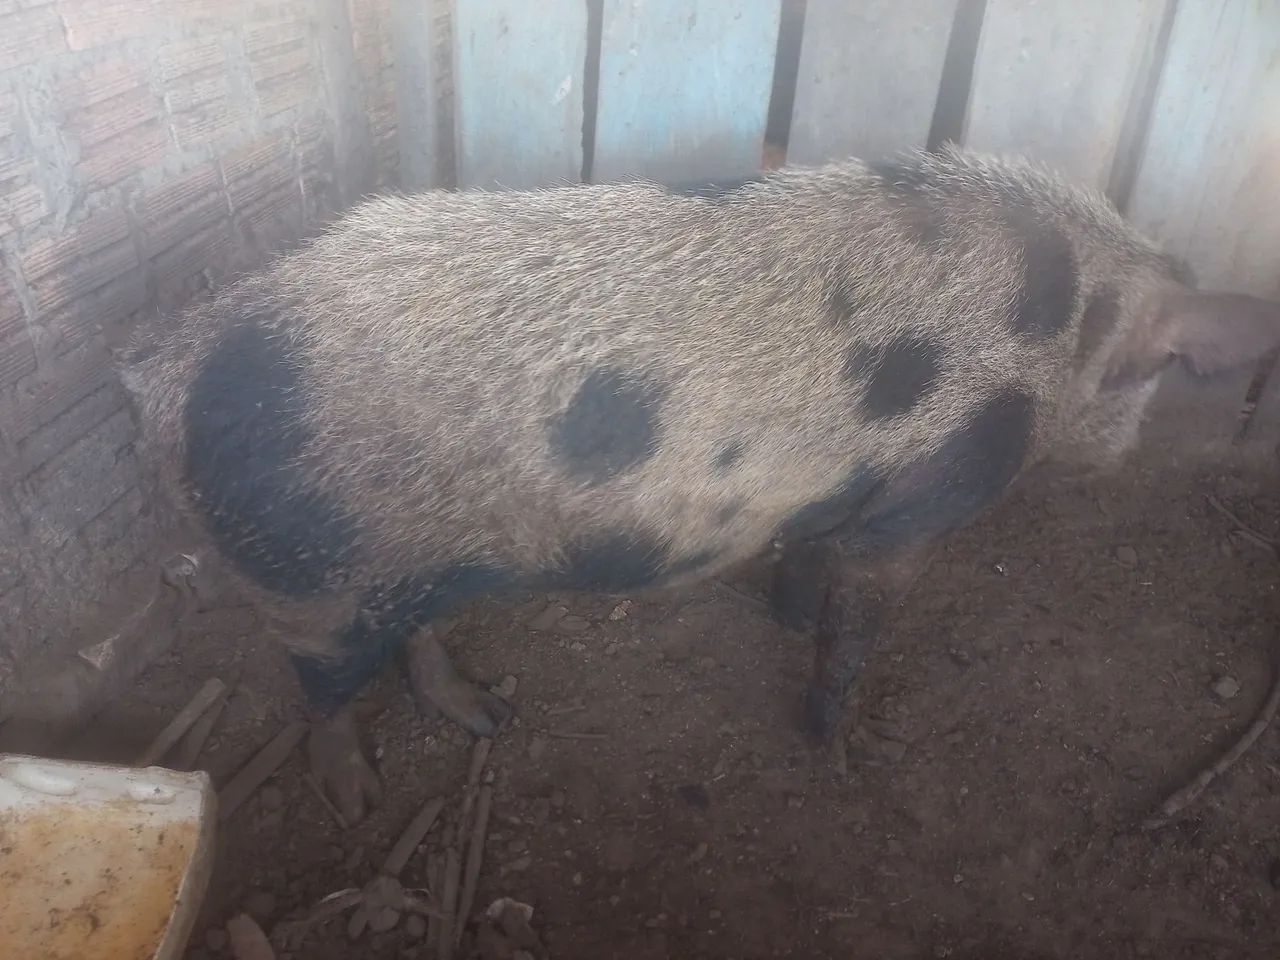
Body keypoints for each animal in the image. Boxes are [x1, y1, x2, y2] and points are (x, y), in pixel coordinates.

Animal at [119, 145, 1280, 826]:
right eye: (1153, 375)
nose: (1125, 452)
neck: (1069, 323)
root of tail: (171, 372)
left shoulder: (829, 492)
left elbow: (809, 560)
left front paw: (786, 616)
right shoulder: (925, 494)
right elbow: (857, 622)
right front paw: (836, 753)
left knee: (414, 634)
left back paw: (486, 718)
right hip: (302, 570)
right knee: (316, 683)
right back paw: (356, 801)